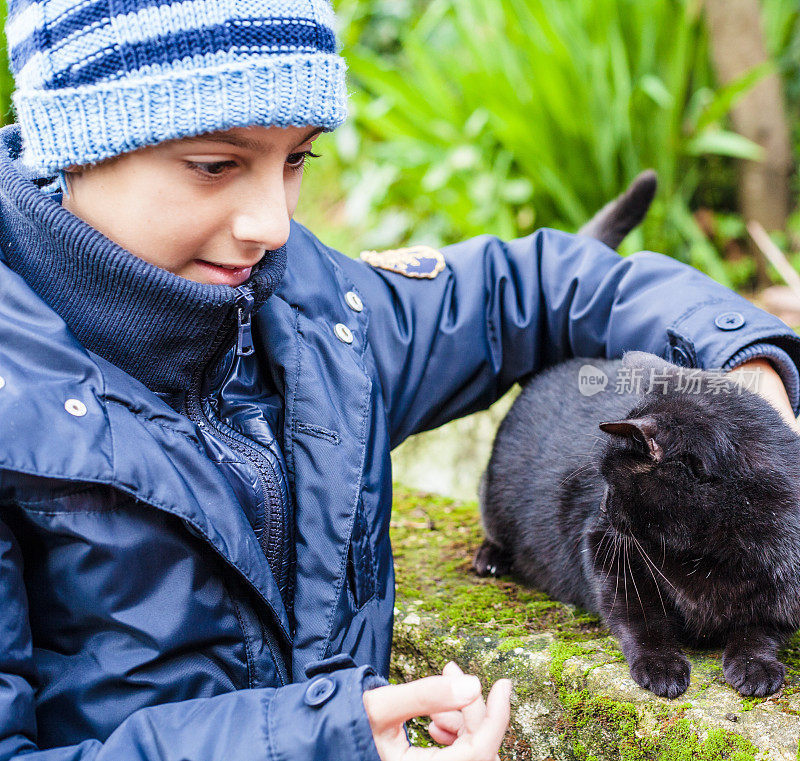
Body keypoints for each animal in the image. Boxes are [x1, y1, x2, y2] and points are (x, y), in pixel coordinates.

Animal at [476, 350, 800, 696]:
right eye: (600, 477)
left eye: (612, 479)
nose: (602, 506)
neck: (710, 554)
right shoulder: (604, 548)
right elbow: (641, 616)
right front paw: (660, 664)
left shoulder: (784, 595)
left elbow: (760, 629)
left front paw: (756, 665)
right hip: (493, 500)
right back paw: (491, 559)